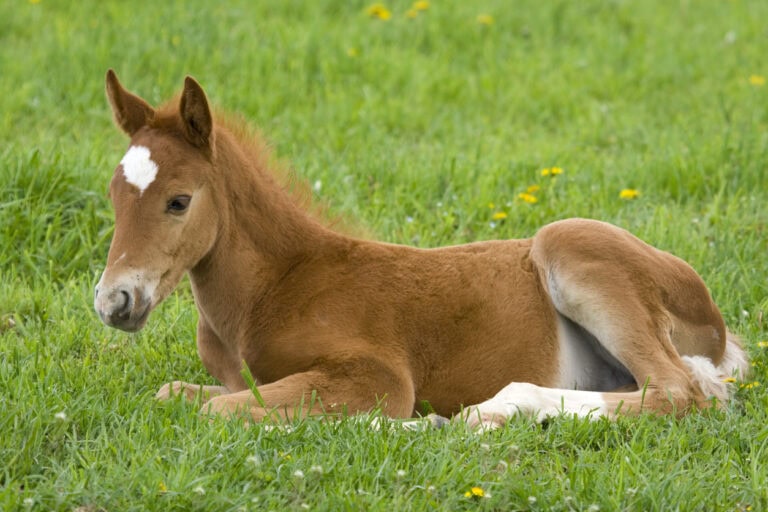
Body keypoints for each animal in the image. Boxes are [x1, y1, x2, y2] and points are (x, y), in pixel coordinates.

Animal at [94, 70, 749, 428]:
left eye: (179, 201)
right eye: (113, 194)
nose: (113, 301)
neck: (272, 289)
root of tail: (720, 330)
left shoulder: (377, 376)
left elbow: (215, 412)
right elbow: (175, 395)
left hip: (567, 243)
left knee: (680, 392)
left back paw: (488, 412)